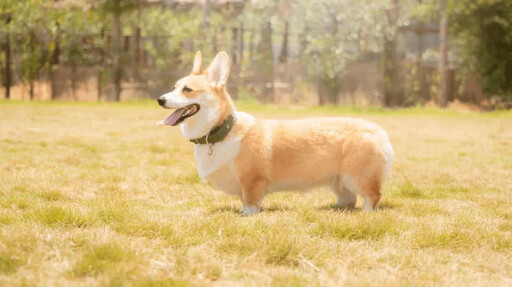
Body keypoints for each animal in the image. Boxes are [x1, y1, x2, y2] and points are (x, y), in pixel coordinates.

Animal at [158, 51, 394, 216]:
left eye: (187, 90)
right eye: (174, 87)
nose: (160, 99)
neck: (221, 130)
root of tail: (380, 132)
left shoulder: (252, 181)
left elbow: (250, 202)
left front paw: (246, 214)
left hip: (358, 177)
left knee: (373, 196)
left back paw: (366, 212)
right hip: (339, 181)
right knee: (349, 200)